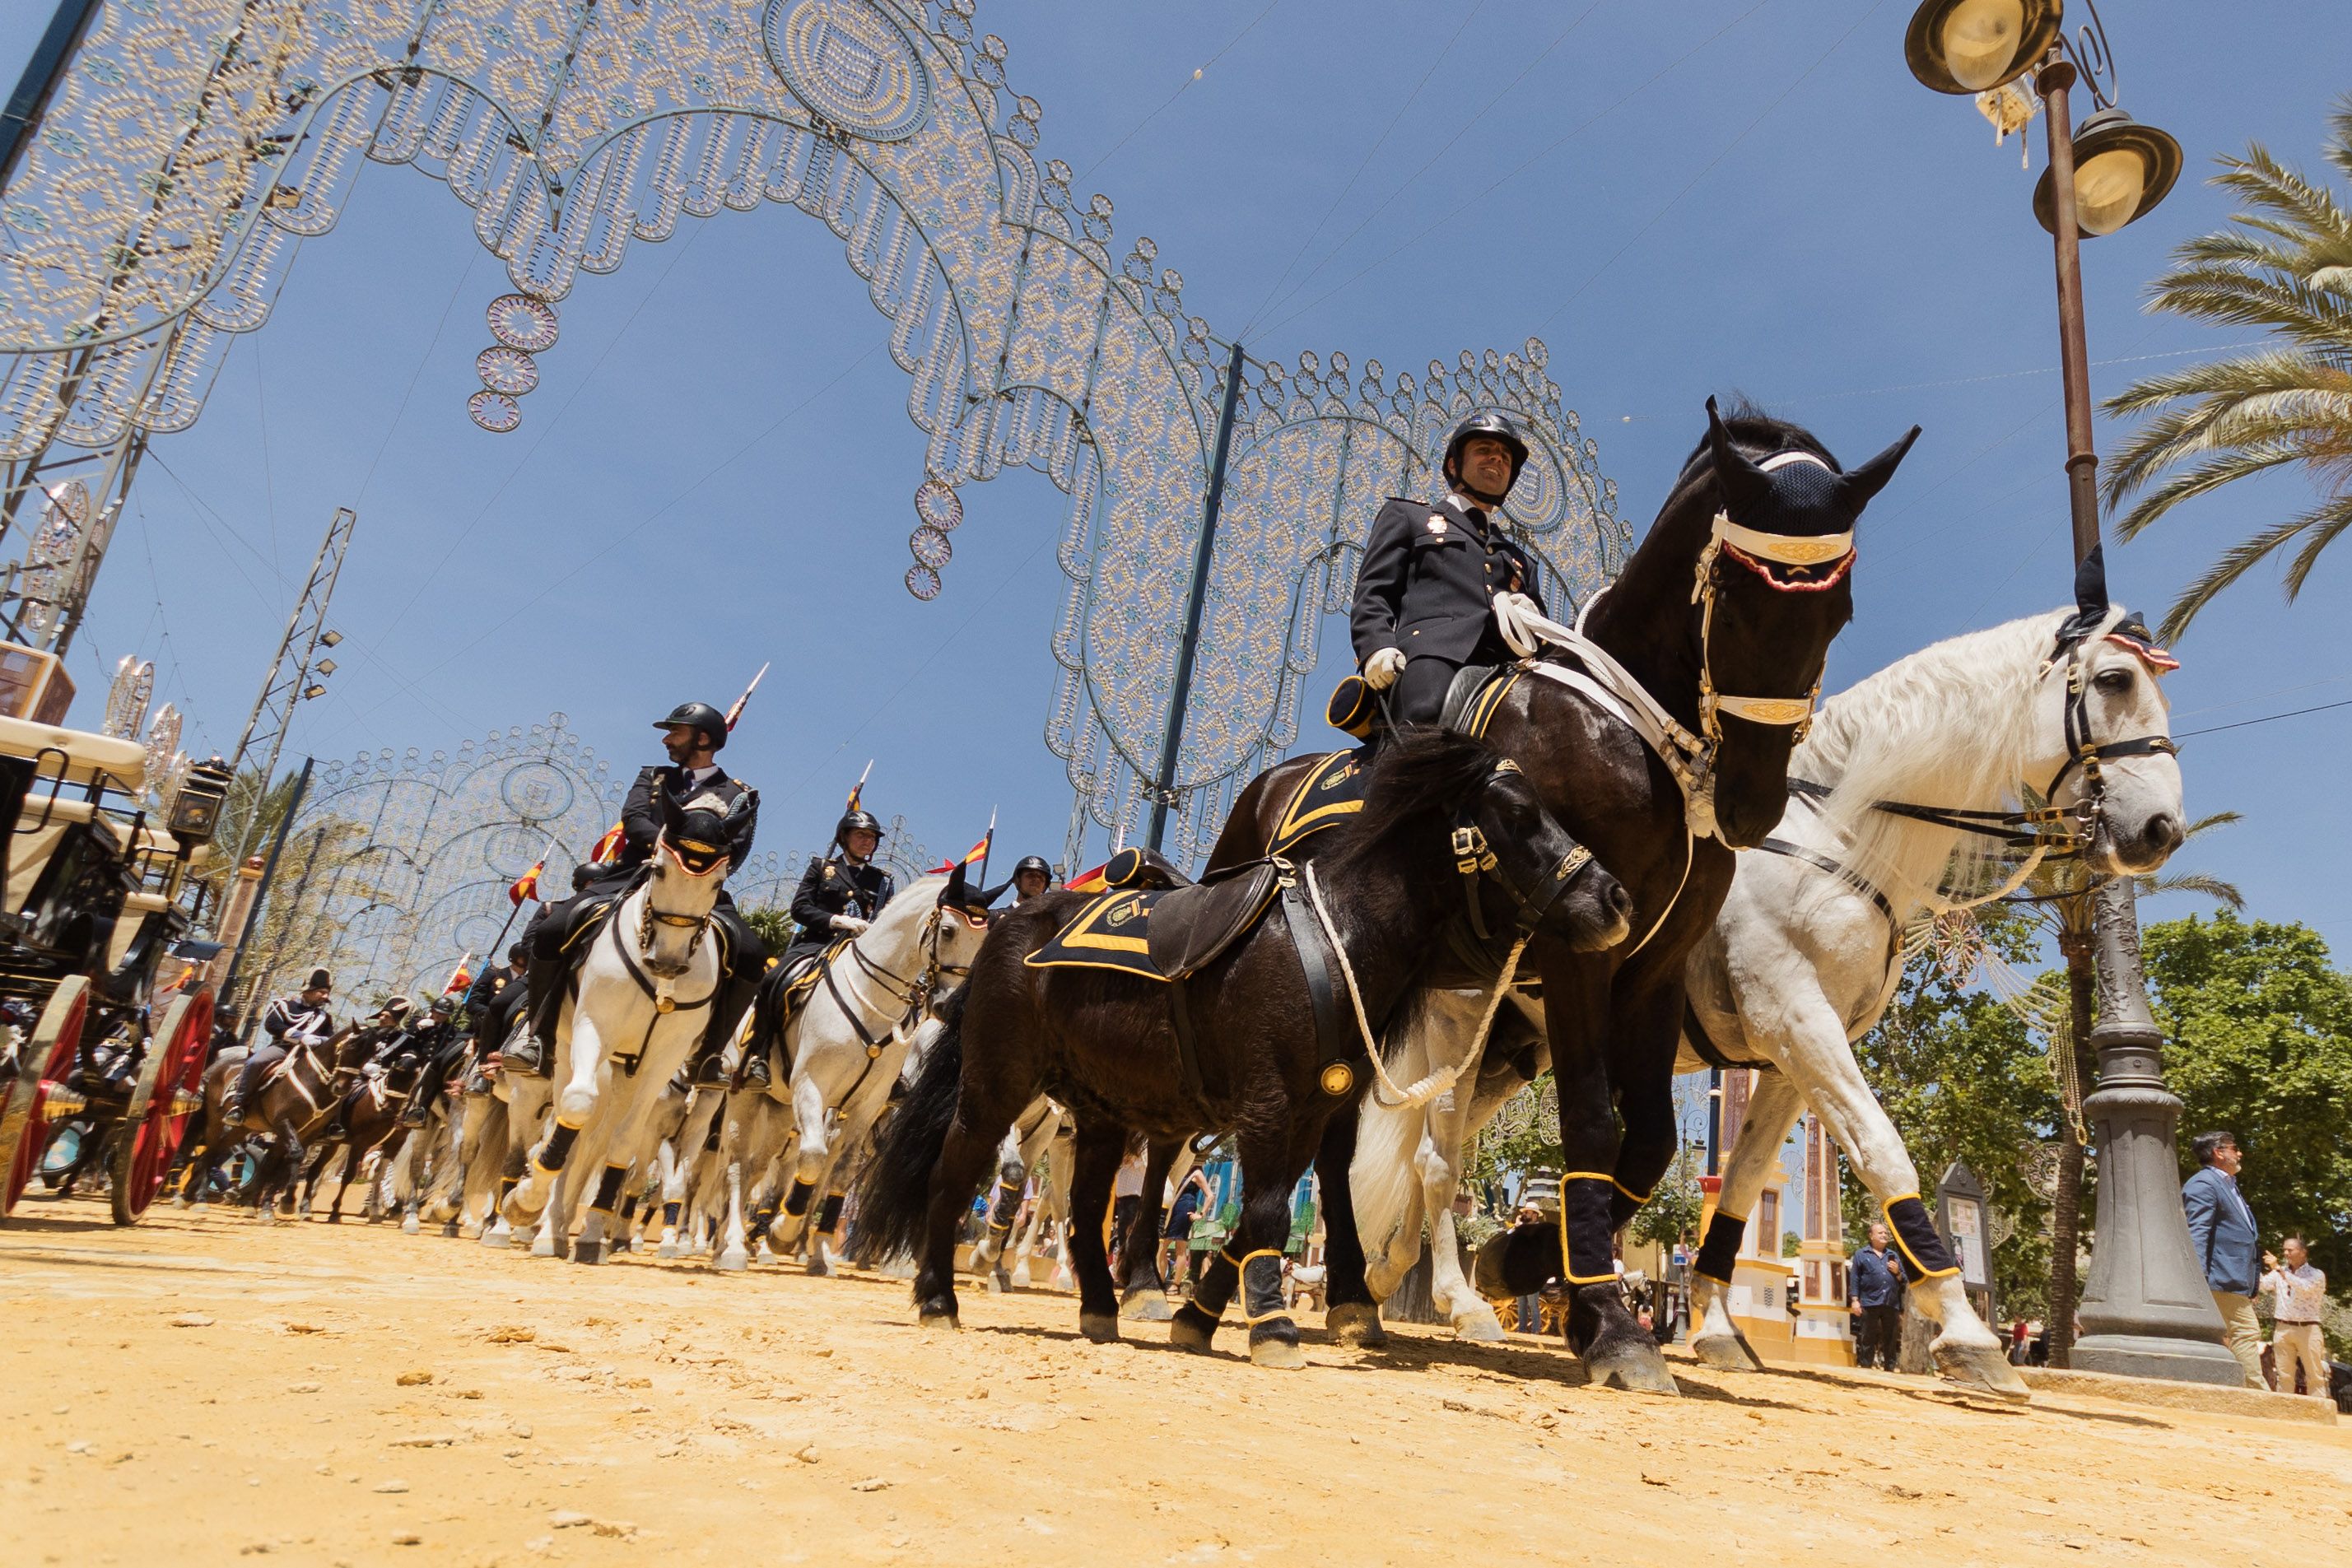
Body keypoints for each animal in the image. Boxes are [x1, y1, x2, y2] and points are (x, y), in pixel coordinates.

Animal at [501, 791, 731, 1265]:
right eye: (658, 869)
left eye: (718, 884)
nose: (668, 961)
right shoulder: (594, 1026)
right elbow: (575, 1110)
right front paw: (526, 1204)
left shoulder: (664, 1060)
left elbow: (624, 1144)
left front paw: (594, 1237)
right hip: (564, 1055)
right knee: (564, 1127)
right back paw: (539, 1224)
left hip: (628, 1075)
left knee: (600, 1144)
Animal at [854, 730, 1631, 1368]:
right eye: (1519, 813)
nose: (1615, 898)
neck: (1330, 939)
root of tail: (1011, 927)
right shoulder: (1267, 1103)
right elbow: (1263, 1214)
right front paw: (1273, 1327)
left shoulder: (1310, 1112)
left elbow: (1262, 1214)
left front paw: (1201, 1317)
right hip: (997, 1085)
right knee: (954, 1171)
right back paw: (937, 1297)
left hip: (1100, 1112)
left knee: (1085, 1206)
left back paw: (1102, 1307)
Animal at [1209, 398, 1916, 1390]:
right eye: (1734, 598)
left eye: (1837, 609)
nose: (1750, 802)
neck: (1623, 734)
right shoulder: (1576, 947)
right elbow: (1589, 1122)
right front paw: (1610, 1324)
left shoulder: (1656, 967)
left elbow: (1648, 1143)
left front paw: (1538, 1271)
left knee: (1343, 1132)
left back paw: (1351, 1293)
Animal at [1678, 595, 2182, 1395]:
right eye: (2113, 679)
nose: (2162, 828)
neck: (1829, 833)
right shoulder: (1794, 1016)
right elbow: (1884, 1153)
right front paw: (1968, 1332)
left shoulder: (1790, 1049)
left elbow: (1741, 1180)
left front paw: (1719, 1327)